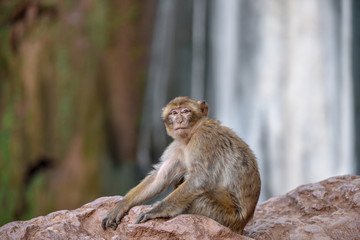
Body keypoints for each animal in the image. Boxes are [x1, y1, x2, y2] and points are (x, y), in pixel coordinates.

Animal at [101, 96, 262, 234]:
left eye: (185, 111)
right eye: (173, 113)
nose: (179, 120)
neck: (190, 136)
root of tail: (243, 223)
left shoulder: (204, 139)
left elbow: (200, 179)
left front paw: (155, 211)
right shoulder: (177, 148)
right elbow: (160, 178)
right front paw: (121, 206)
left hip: (225, 216)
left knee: (199, 197)